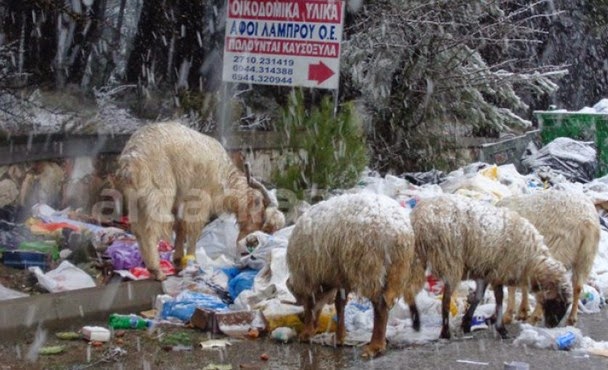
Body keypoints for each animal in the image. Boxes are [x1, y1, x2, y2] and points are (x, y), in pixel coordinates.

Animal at [117, 122, 286, 280]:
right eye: (265, 227)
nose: (247, 247)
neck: (223, 175)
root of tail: (130, 160)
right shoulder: (200, 199)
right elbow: (193, 228)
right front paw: (191, 261)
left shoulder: (180, 199)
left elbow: (180, 226)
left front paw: (178, 259)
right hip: (159, 191)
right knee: (150, 228)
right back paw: (156, 270)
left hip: (136, 199)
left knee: (138, 228)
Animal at [286, 194, 426, 358]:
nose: (302, 321)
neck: (324, 282)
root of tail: (399, 233)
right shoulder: (341, 277)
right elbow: (339, 303)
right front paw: (340, 337)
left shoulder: (308, 276)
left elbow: (312, 304)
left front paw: (307, 333)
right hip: (398, 269)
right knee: (385, 302)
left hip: (370, 268)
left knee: (380, 306)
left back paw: (375, 346)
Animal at [410, 195, 572, 340]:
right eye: (559, 301)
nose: (553, 325)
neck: (531, 261)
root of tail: (419, 218)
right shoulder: (499, 272)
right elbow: (499, 299)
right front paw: (501, 329)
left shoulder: (484, 271)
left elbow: (478, 297)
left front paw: (466, 323)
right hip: (450, 260)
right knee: (445, 300)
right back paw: (445, 332)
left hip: (418, 259)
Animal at [496, 189, 600, 326]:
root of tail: (586, 222)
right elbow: (524, 284)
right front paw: (523, 310)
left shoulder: (513, 257)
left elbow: (512, 287)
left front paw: (509, 315)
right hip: (586, 256)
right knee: (577, 286)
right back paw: (571, 317)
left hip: (558, 248)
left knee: (551, 287)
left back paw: (535, 317)